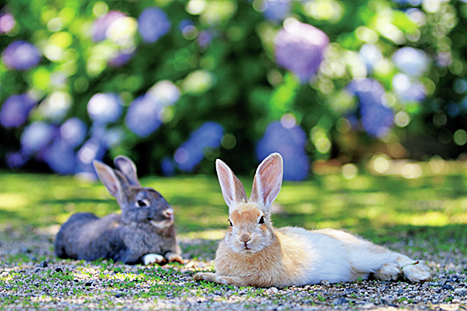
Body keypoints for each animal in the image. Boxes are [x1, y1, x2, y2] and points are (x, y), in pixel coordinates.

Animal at [55, 156, 184, 266]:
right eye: (141, 203)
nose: (169, 212)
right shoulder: (126, 254)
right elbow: (142, 256)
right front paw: (155, 258)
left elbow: (170, 252)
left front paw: (175, 257)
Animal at [194, 153, 432, 288]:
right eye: (230, 222)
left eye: (261, 219)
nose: (244, 239)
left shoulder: (264, 278)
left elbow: (239, 280)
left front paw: (204, 275)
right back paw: (390, 273)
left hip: (361, 254)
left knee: (396, 255)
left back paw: (418, 274)